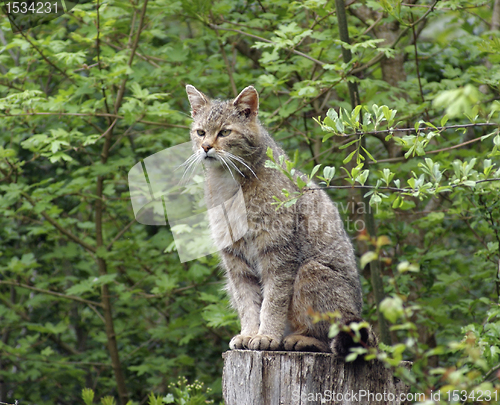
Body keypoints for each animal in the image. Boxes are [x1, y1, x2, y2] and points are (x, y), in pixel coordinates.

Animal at [185, 85, 376, 354]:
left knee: (331, 338)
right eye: (200, 132)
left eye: (224, 132)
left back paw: (302, 339)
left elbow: (273, 300)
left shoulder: (277, 252)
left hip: (311, 271)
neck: (228, 181)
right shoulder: (236, 260)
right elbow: (247, 303)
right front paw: (249, 333)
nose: (205, 147)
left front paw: (267, 335)